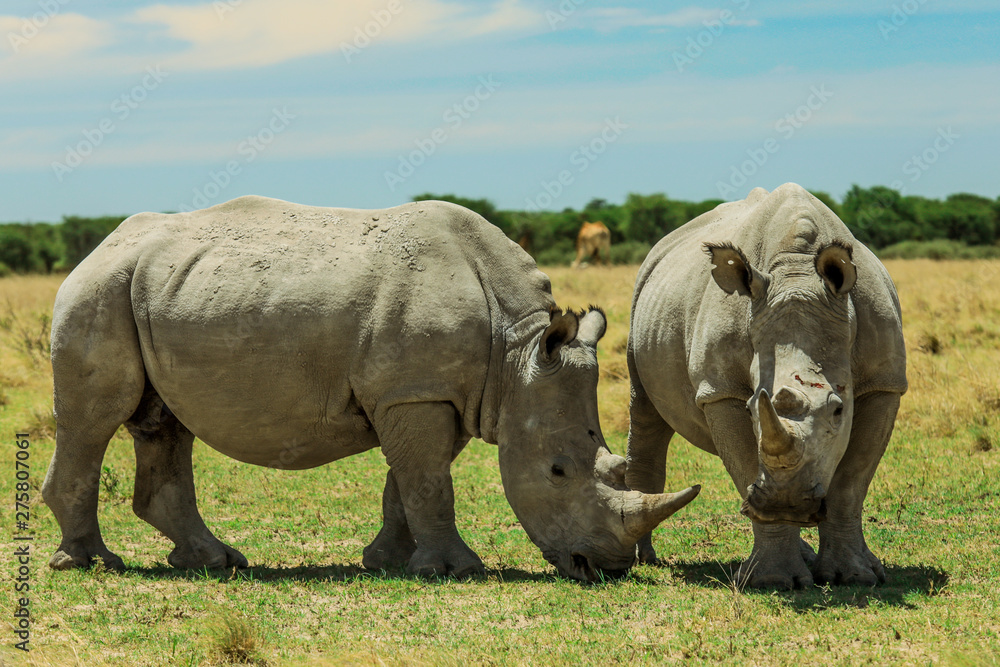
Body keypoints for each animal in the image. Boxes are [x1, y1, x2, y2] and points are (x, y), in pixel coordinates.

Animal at [42, 196, 699, 582]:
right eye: (559, 471)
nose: (606, 567)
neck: (516, 353)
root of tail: (101, 245)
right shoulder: (417, 392)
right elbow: (429, 481)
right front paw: (456, 570)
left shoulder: (430, 390)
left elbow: (410, 481)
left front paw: (389, 561)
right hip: (98, 290)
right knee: (95, 420)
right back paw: (91, 563)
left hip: (151, 290)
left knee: (162, 423)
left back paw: (213, 562)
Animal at [626, 184, 907, 589]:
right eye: (750, 409)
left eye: (838, 409)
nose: (783, 503)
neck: (797, 275)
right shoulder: (721, 390)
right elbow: (746, 466)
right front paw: (772, 580)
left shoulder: (884, 381)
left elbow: (852, 482)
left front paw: (855, 576)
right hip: (639, 302)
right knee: (645, 411)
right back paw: (642, 558)